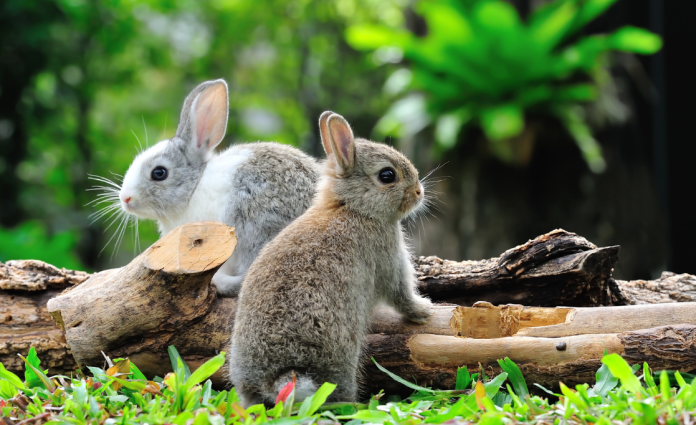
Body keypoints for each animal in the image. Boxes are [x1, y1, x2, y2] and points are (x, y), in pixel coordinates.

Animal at [229, 111, 434, 407]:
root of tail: (276, 378)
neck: (353, 208)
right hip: (341, 356)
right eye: (387, 175)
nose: (419, 192)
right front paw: (424, 310)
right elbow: (401, 295)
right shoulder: (388, 259)